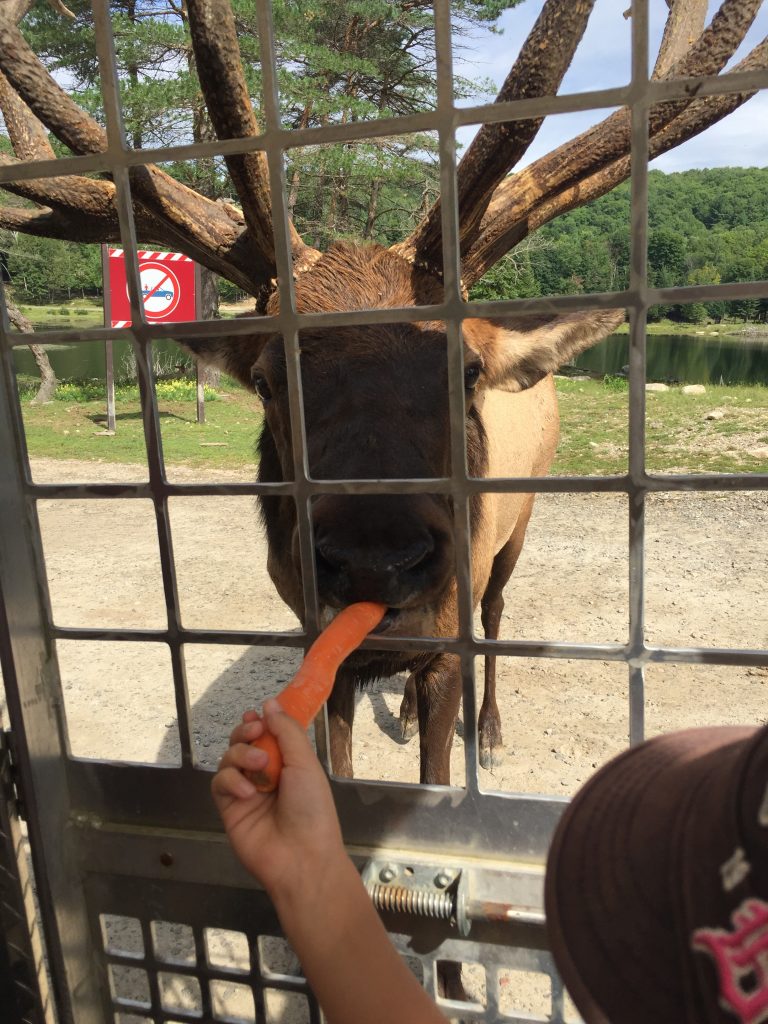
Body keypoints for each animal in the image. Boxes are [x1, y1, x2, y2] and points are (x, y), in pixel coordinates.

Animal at [0, 0, 765, 782]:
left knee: (497, 611)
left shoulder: (448, 636)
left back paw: (489, 728)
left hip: (518, 522)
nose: (375, 557)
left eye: (467, 372)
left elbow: (438, 769)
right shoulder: (321, 642)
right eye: (267, 381)